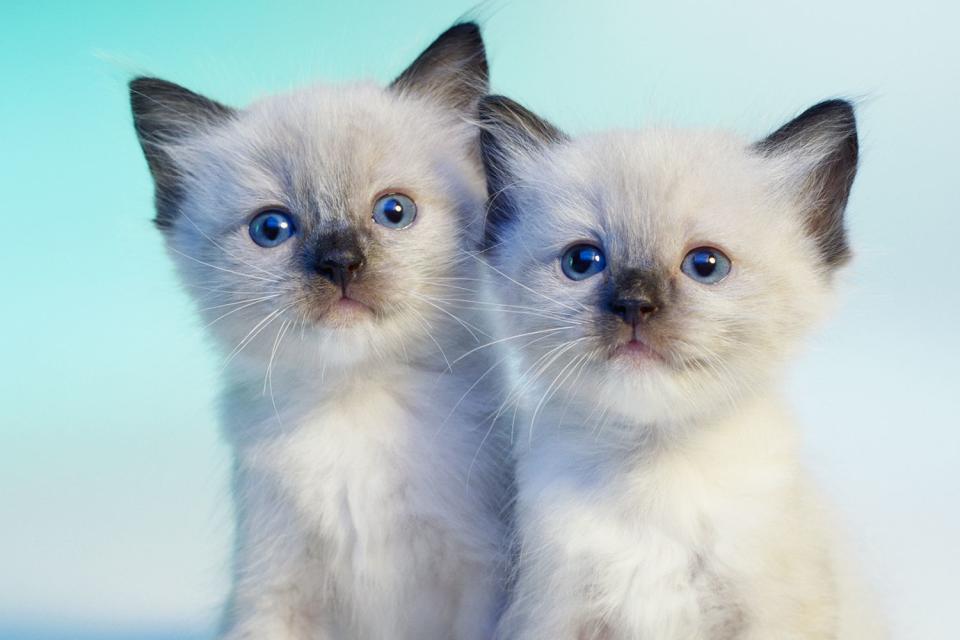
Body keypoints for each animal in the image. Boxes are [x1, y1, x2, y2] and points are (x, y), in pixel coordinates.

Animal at [127, 22, 510, 636]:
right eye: (271, 228)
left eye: (394, 211)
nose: (340, 263)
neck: (351, 402)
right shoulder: (273, 595)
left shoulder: (480, 575)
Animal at [476, 96, 880, 640]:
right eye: (583, 261)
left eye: (706, 265)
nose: (634, 305)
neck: (656, 463)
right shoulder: (553, 613)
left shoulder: (770, 613)